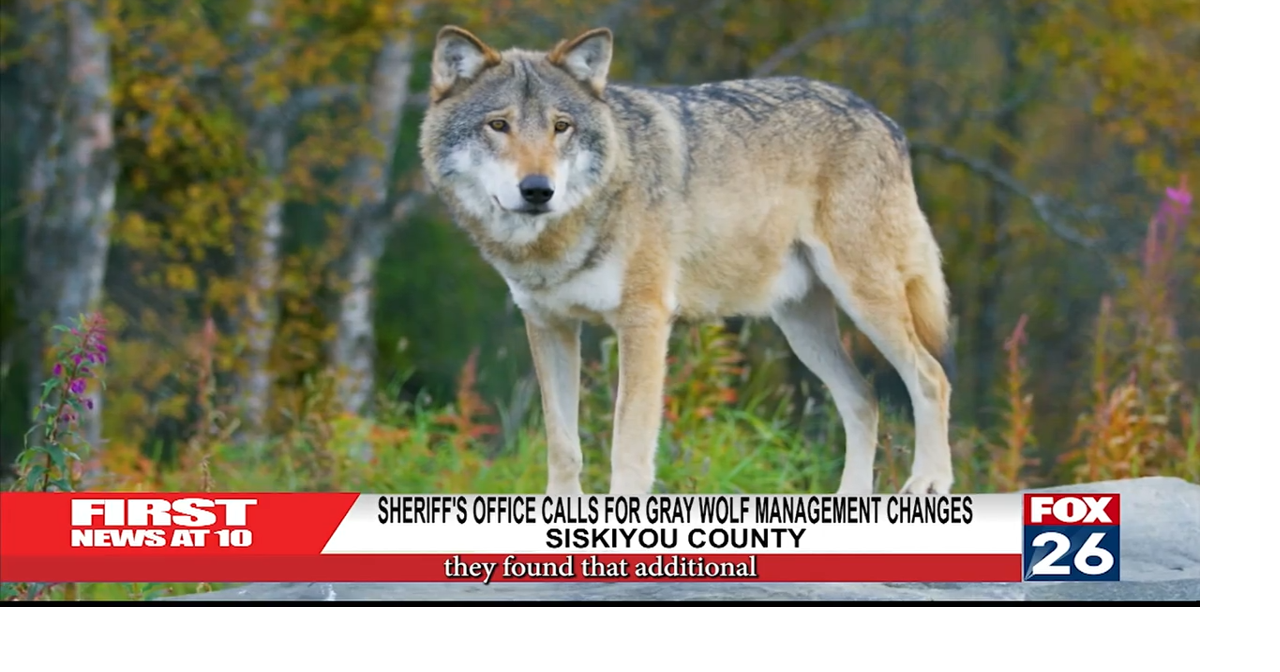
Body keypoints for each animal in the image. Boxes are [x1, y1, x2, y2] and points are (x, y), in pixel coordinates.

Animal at [418, 26, 955, 496]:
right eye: (498, 125)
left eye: (561, 127)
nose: (537, 190)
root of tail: (884, 120)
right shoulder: (549, 326)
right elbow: (563, 446)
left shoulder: (644, 321)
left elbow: (628, 444)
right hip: (801, 326)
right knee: (863, 398)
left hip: (865, 301)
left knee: (931, 378)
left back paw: (929, 482)